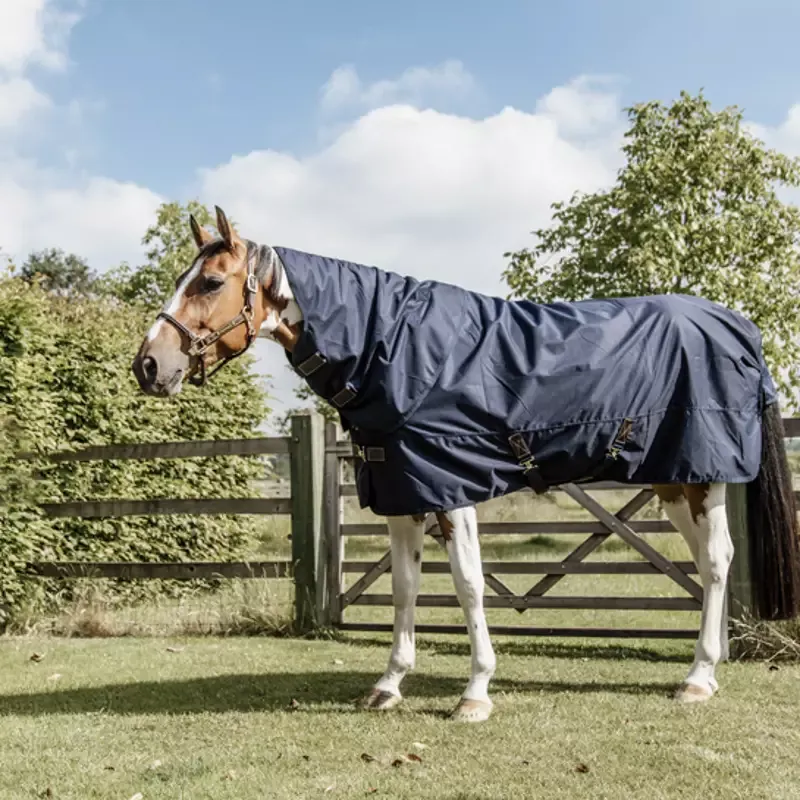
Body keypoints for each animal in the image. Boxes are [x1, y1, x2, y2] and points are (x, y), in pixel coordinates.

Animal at [132, 206, 800, 723]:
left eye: (210, 283)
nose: (148, 365)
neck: (393, 350)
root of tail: (736, 326)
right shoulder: (401, 492)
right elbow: (404, 588)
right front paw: (389, 685)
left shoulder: (452, 489)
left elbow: (469, 586)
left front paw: (475, 692)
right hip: (672, 479)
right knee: (707, 564)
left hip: (704, 478)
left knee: (717, 561)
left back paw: (698, 678)